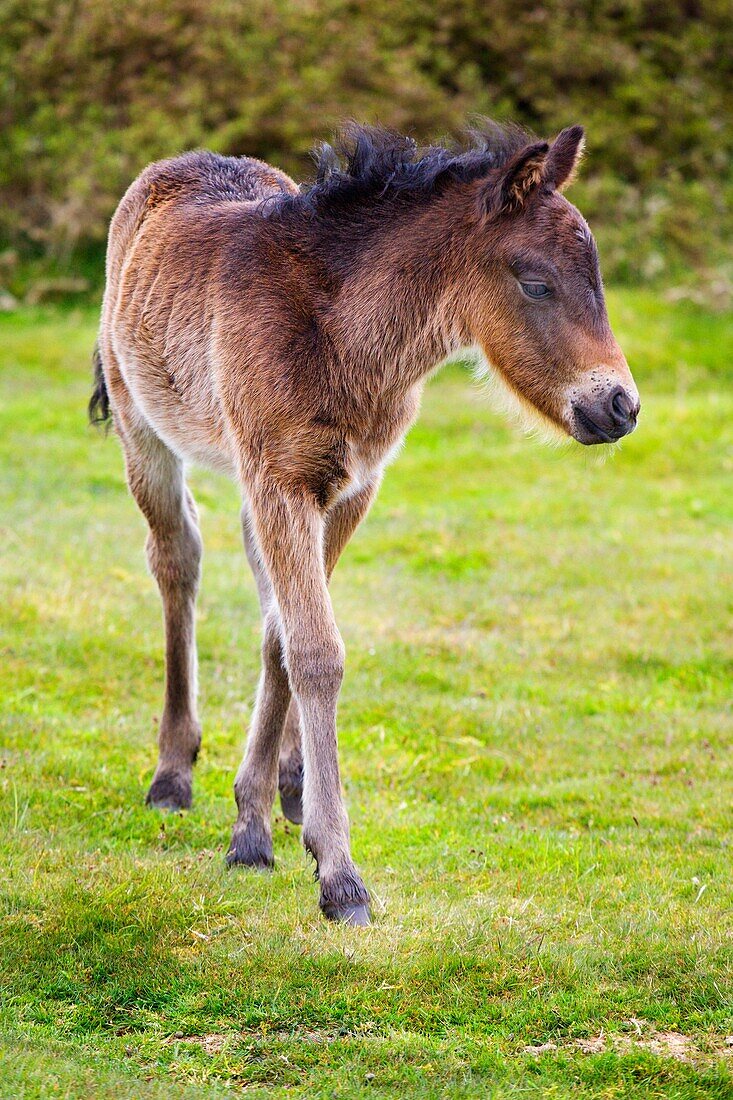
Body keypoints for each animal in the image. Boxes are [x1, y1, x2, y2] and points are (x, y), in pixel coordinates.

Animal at [91, 124, 638, 924]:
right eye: (536, 282)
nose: (620, 407)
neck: (342, 336)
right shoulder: (281, 481)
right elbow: (316, 651)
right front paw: (338, 874)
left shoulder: (349, 488)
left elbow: (285, 640)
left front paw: (257, 821)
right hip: (144, 432)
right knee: (176, 559)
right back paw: (172, 773)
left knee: (260, 593)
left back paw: (287, 784)